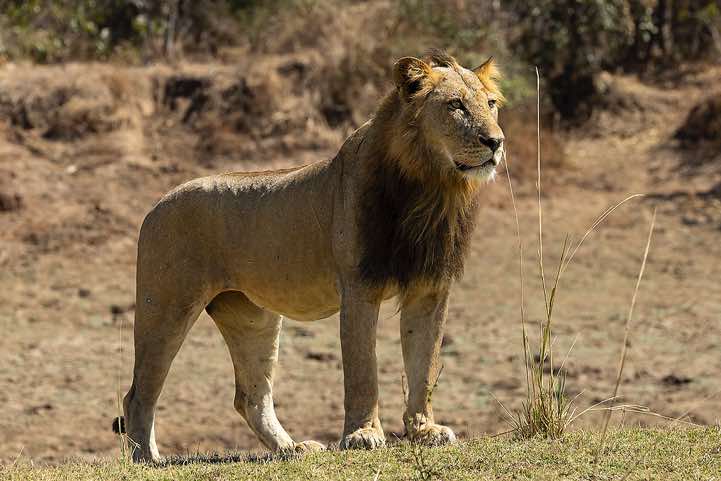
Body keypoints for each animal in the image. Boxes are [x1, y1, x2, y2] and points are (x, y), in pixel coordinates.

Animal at [114, 51, 505, 462]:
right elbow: (363, 369)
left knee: (250, 396)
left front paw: (425, 430)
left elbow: (424, 365)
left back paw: (293, 448)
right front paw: (363, 435)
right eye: (456, 105)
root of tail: (156, 204)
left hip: (252, 318)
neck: (430, 189)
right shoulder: (358, 287)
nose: (496, 141)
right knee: (138, 393)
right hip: (167, 307)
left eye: (491, 104)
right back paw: (148, 459)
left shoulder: (430, 289)